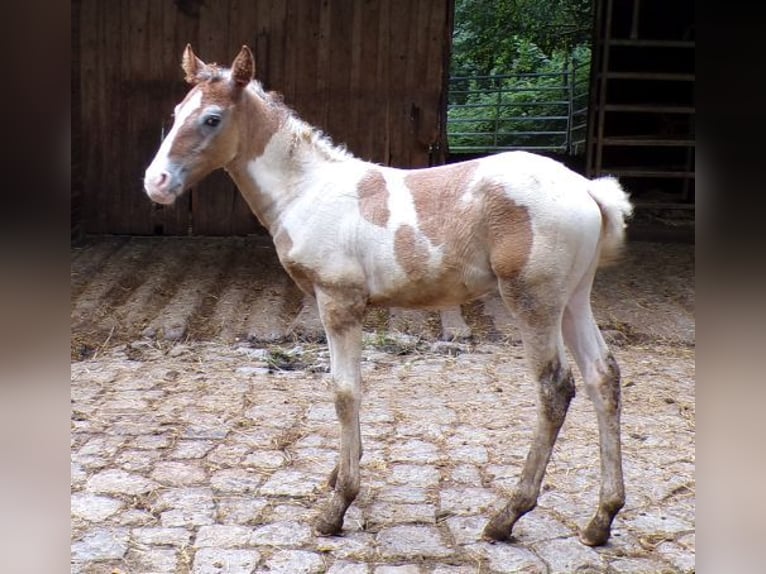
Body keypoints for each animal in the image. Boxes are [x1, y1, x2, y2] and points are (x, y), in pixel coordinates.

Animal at [146, 46, 636, 548]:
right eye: (176, 112)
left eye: (212, 119)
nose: (156, 182)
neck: (307, 191)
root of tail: (587, 189)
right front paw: (337, 475)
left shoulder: (338, 301)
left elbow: (345, 391)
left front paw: (338, 504)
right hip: (573, 299)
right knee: (603, 376)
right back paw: (601, 518)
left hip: (534, 302)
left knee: (555, 388)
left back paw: (507, 515)